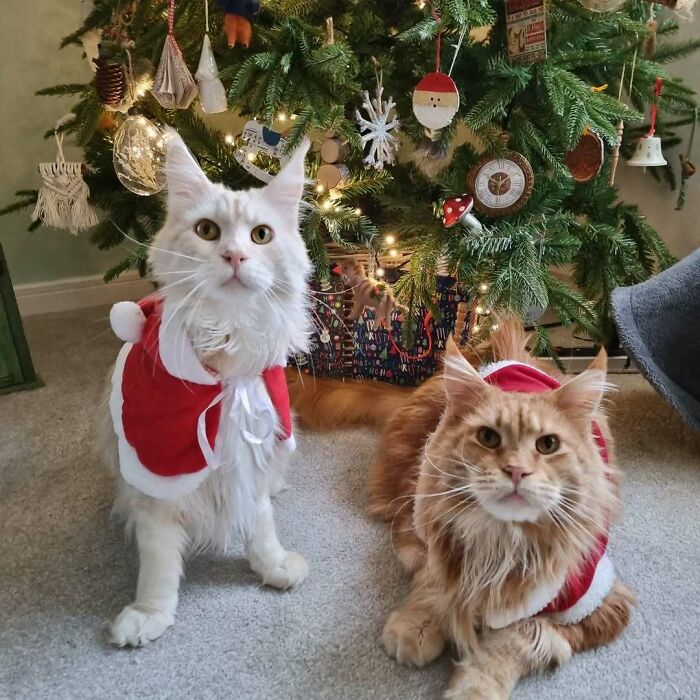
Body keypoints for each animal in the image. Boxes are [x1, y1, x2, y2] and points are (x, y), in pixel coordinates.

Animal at [100, 131, 312, 644]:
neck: (226, 361)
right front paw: (149, 614)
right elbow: (158, 565)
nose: (234, 257)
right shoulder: (157, 483)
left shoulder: (251, 453)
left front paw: (272, 566)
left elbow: (261, 522)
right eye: (208, 232)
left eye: (261, 236)